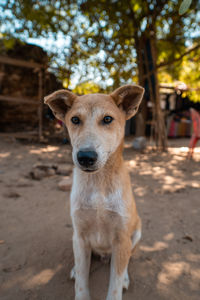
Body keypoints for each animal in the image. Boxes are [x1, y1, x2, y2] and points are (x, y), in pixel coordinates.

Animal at [44, 85, 144, 300]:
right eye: (75, 120)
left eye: (107, 119)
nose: (86, 157)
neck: (98, 184)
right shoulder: (80, 235)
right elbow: (81, 283)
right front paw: (79, 275)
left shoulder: (122, 238)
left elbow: (114, 285)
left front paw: (120, 281)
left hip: (136, 234)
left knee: (125, 260)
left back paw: (125, 276)